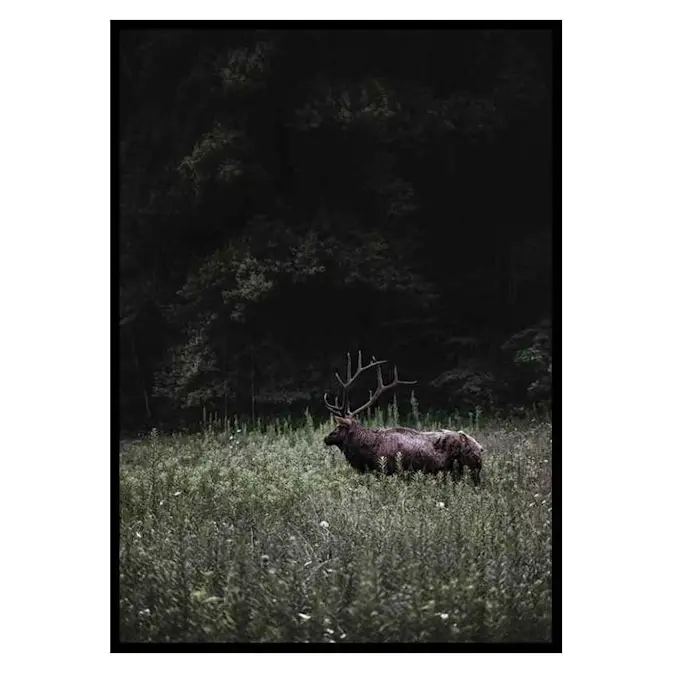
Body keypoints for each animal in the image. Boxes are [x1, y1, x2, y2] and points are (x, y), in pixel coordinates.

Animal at [323, 352, 483, 485]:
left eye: (339, 427)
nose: (326, 438)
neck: (368, 452)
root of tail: (480, 449)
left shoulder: (387, 471)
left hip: (467, 471)